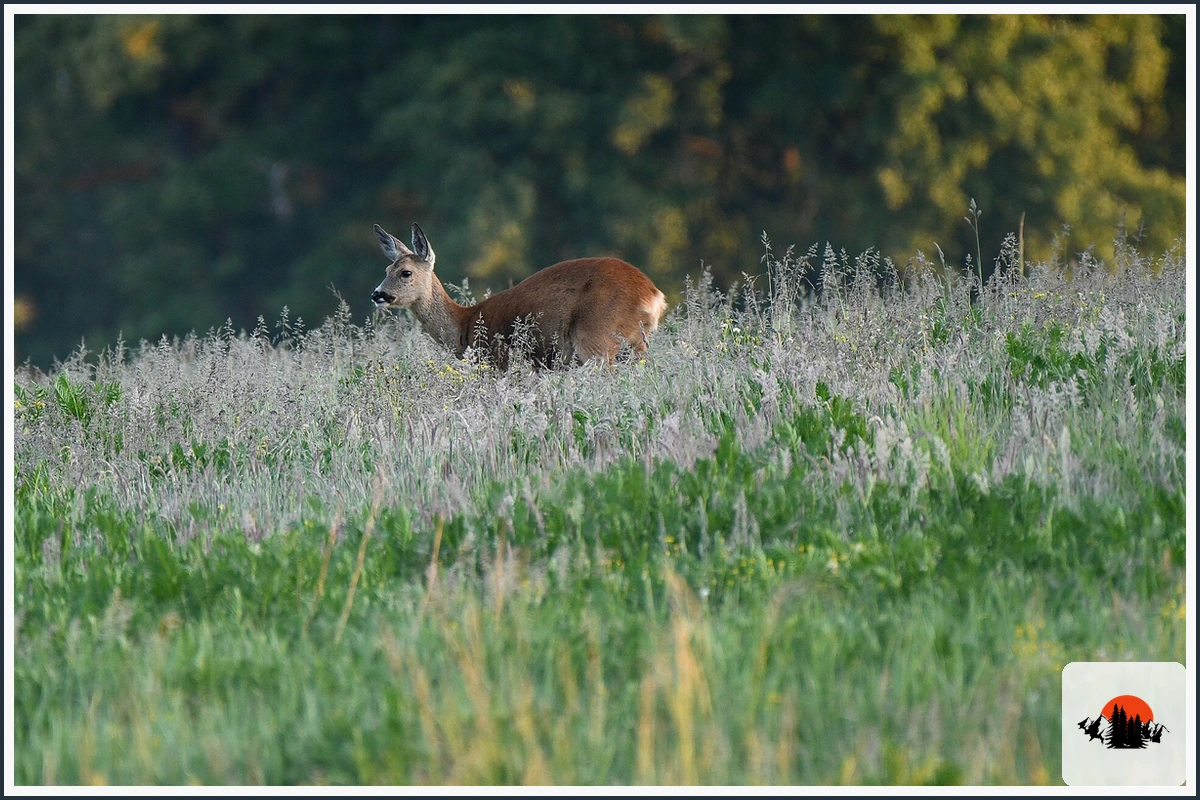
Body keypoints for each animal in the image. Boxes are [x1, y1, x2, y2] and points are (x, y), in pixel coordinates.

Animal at [370, 223, 667, 369]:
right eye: (386, 269)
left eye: (406, 272)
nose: (377, 294)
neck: (465, 324)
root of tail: (653, 294)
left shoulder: (498, 361)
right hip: (635, 344)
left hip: (596, 336)